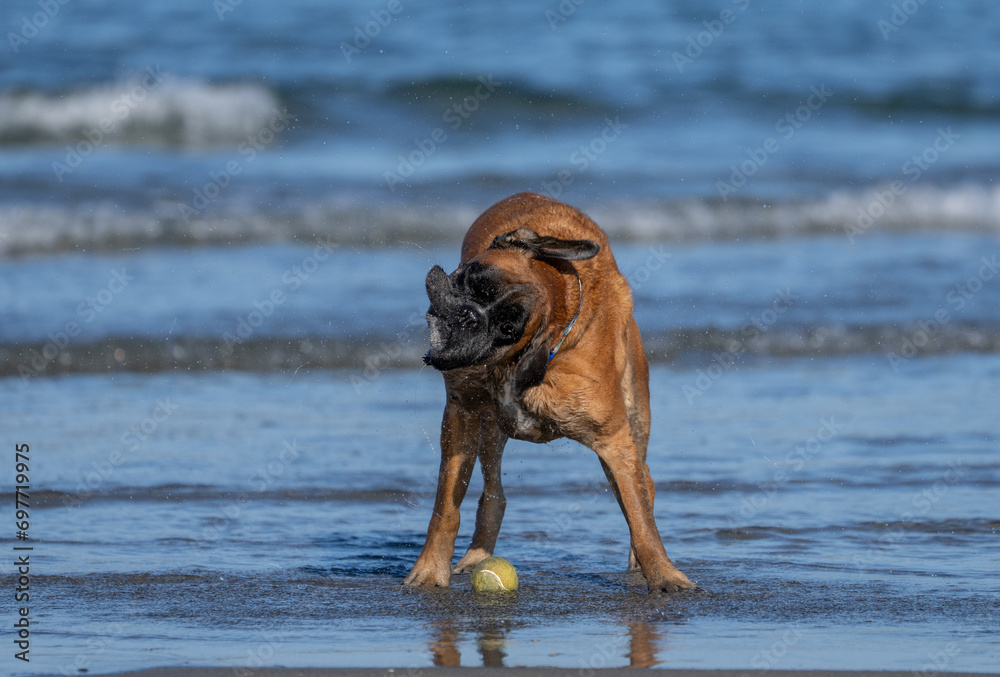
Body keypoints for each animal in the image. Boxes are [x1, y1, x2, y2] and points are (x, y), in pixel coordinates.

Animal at [402, 191, 692, 592]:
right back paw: (476, 557)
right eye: (474, 280)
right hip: (489, 431)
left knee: (644, 486)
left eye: (508, 327)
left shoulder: (614, 440)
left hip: (635, 414)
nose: (469, 315)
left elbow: (639, 515)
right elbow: (446, 506)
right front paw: (430, 570)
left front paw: (664, 574)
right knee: (494, 493)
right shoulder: (461, 416)